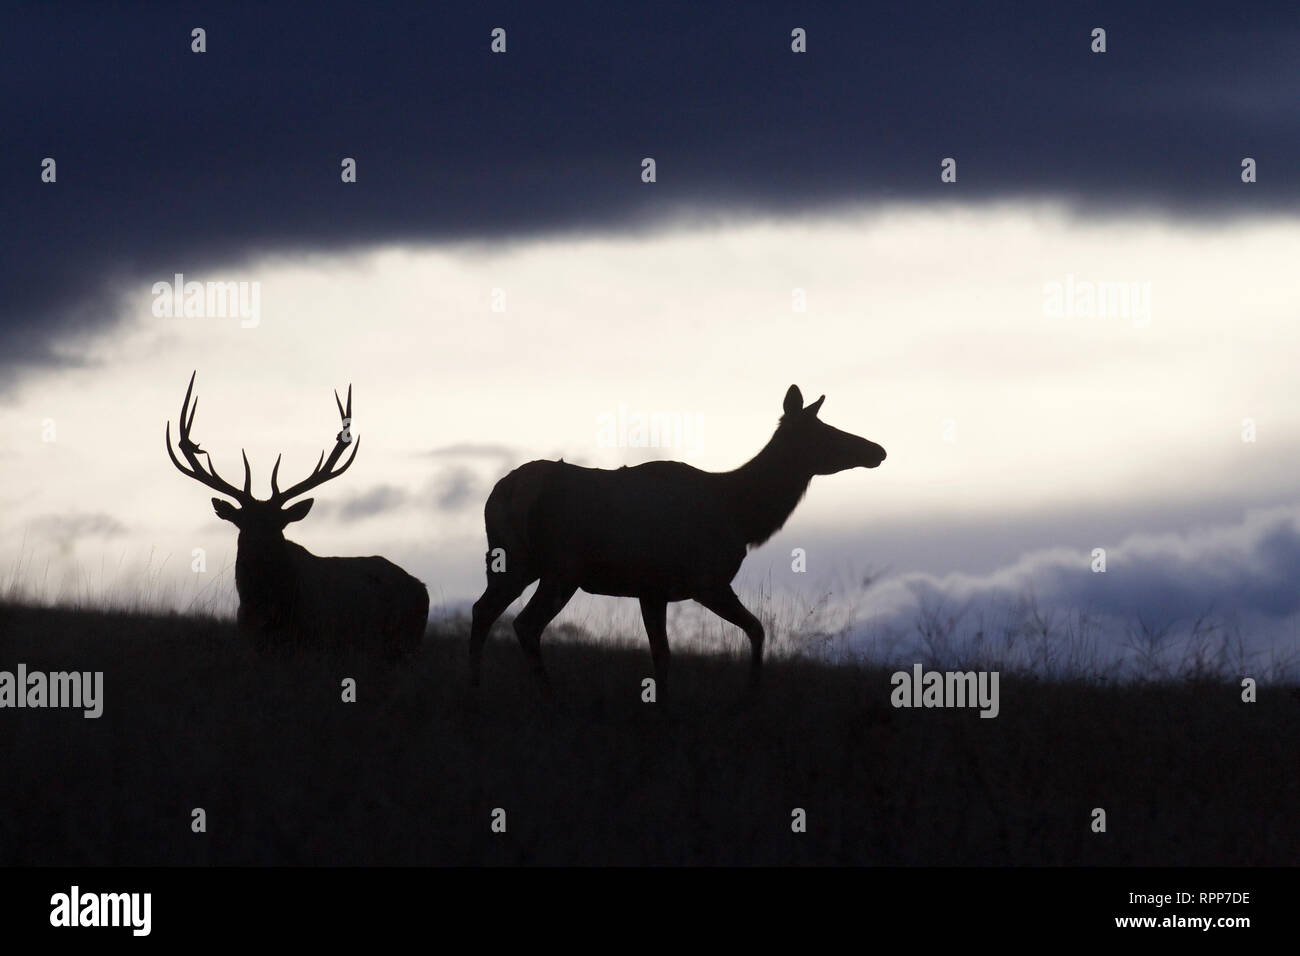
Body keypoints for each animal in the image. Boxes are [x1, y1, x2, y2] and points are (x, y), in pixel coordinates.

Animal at [165, 369, 428, 655]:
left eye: (278, 524)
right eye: (242, 522)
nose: (258, 549)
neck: (267, 609)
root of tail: (421, 587)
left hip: (405, 640)